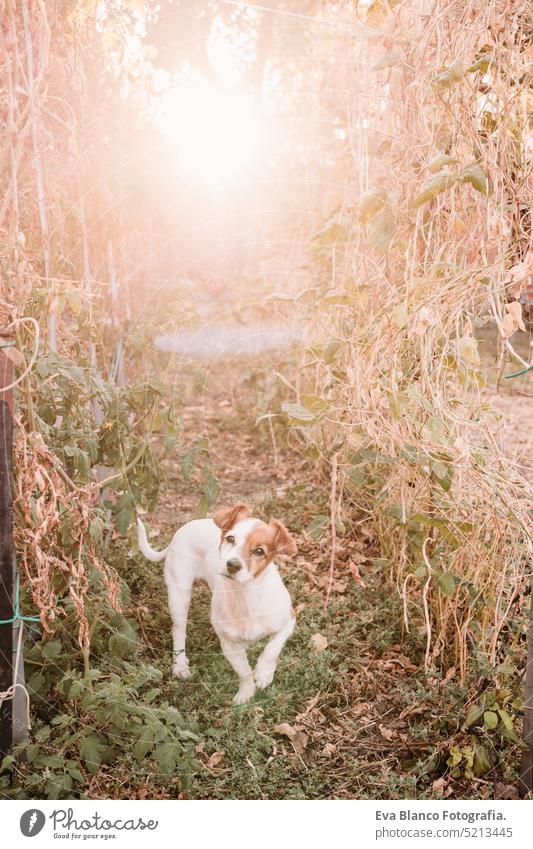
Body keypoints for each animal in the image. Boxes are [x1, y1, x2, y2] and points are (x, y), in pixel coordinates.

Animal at [135, 504, 298, 704]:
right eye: (231, 539)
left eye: (259, 551)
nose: (232, 564)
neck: (245, 596)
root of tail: (186, 527)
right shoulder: (228, 646)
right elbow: (244, 671)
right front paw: (246, 693)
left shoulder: (289, 622)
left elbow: (272, 649)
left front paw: (264, 673)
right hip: (179, 595)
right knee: (178, 631)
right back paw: (180, 665)